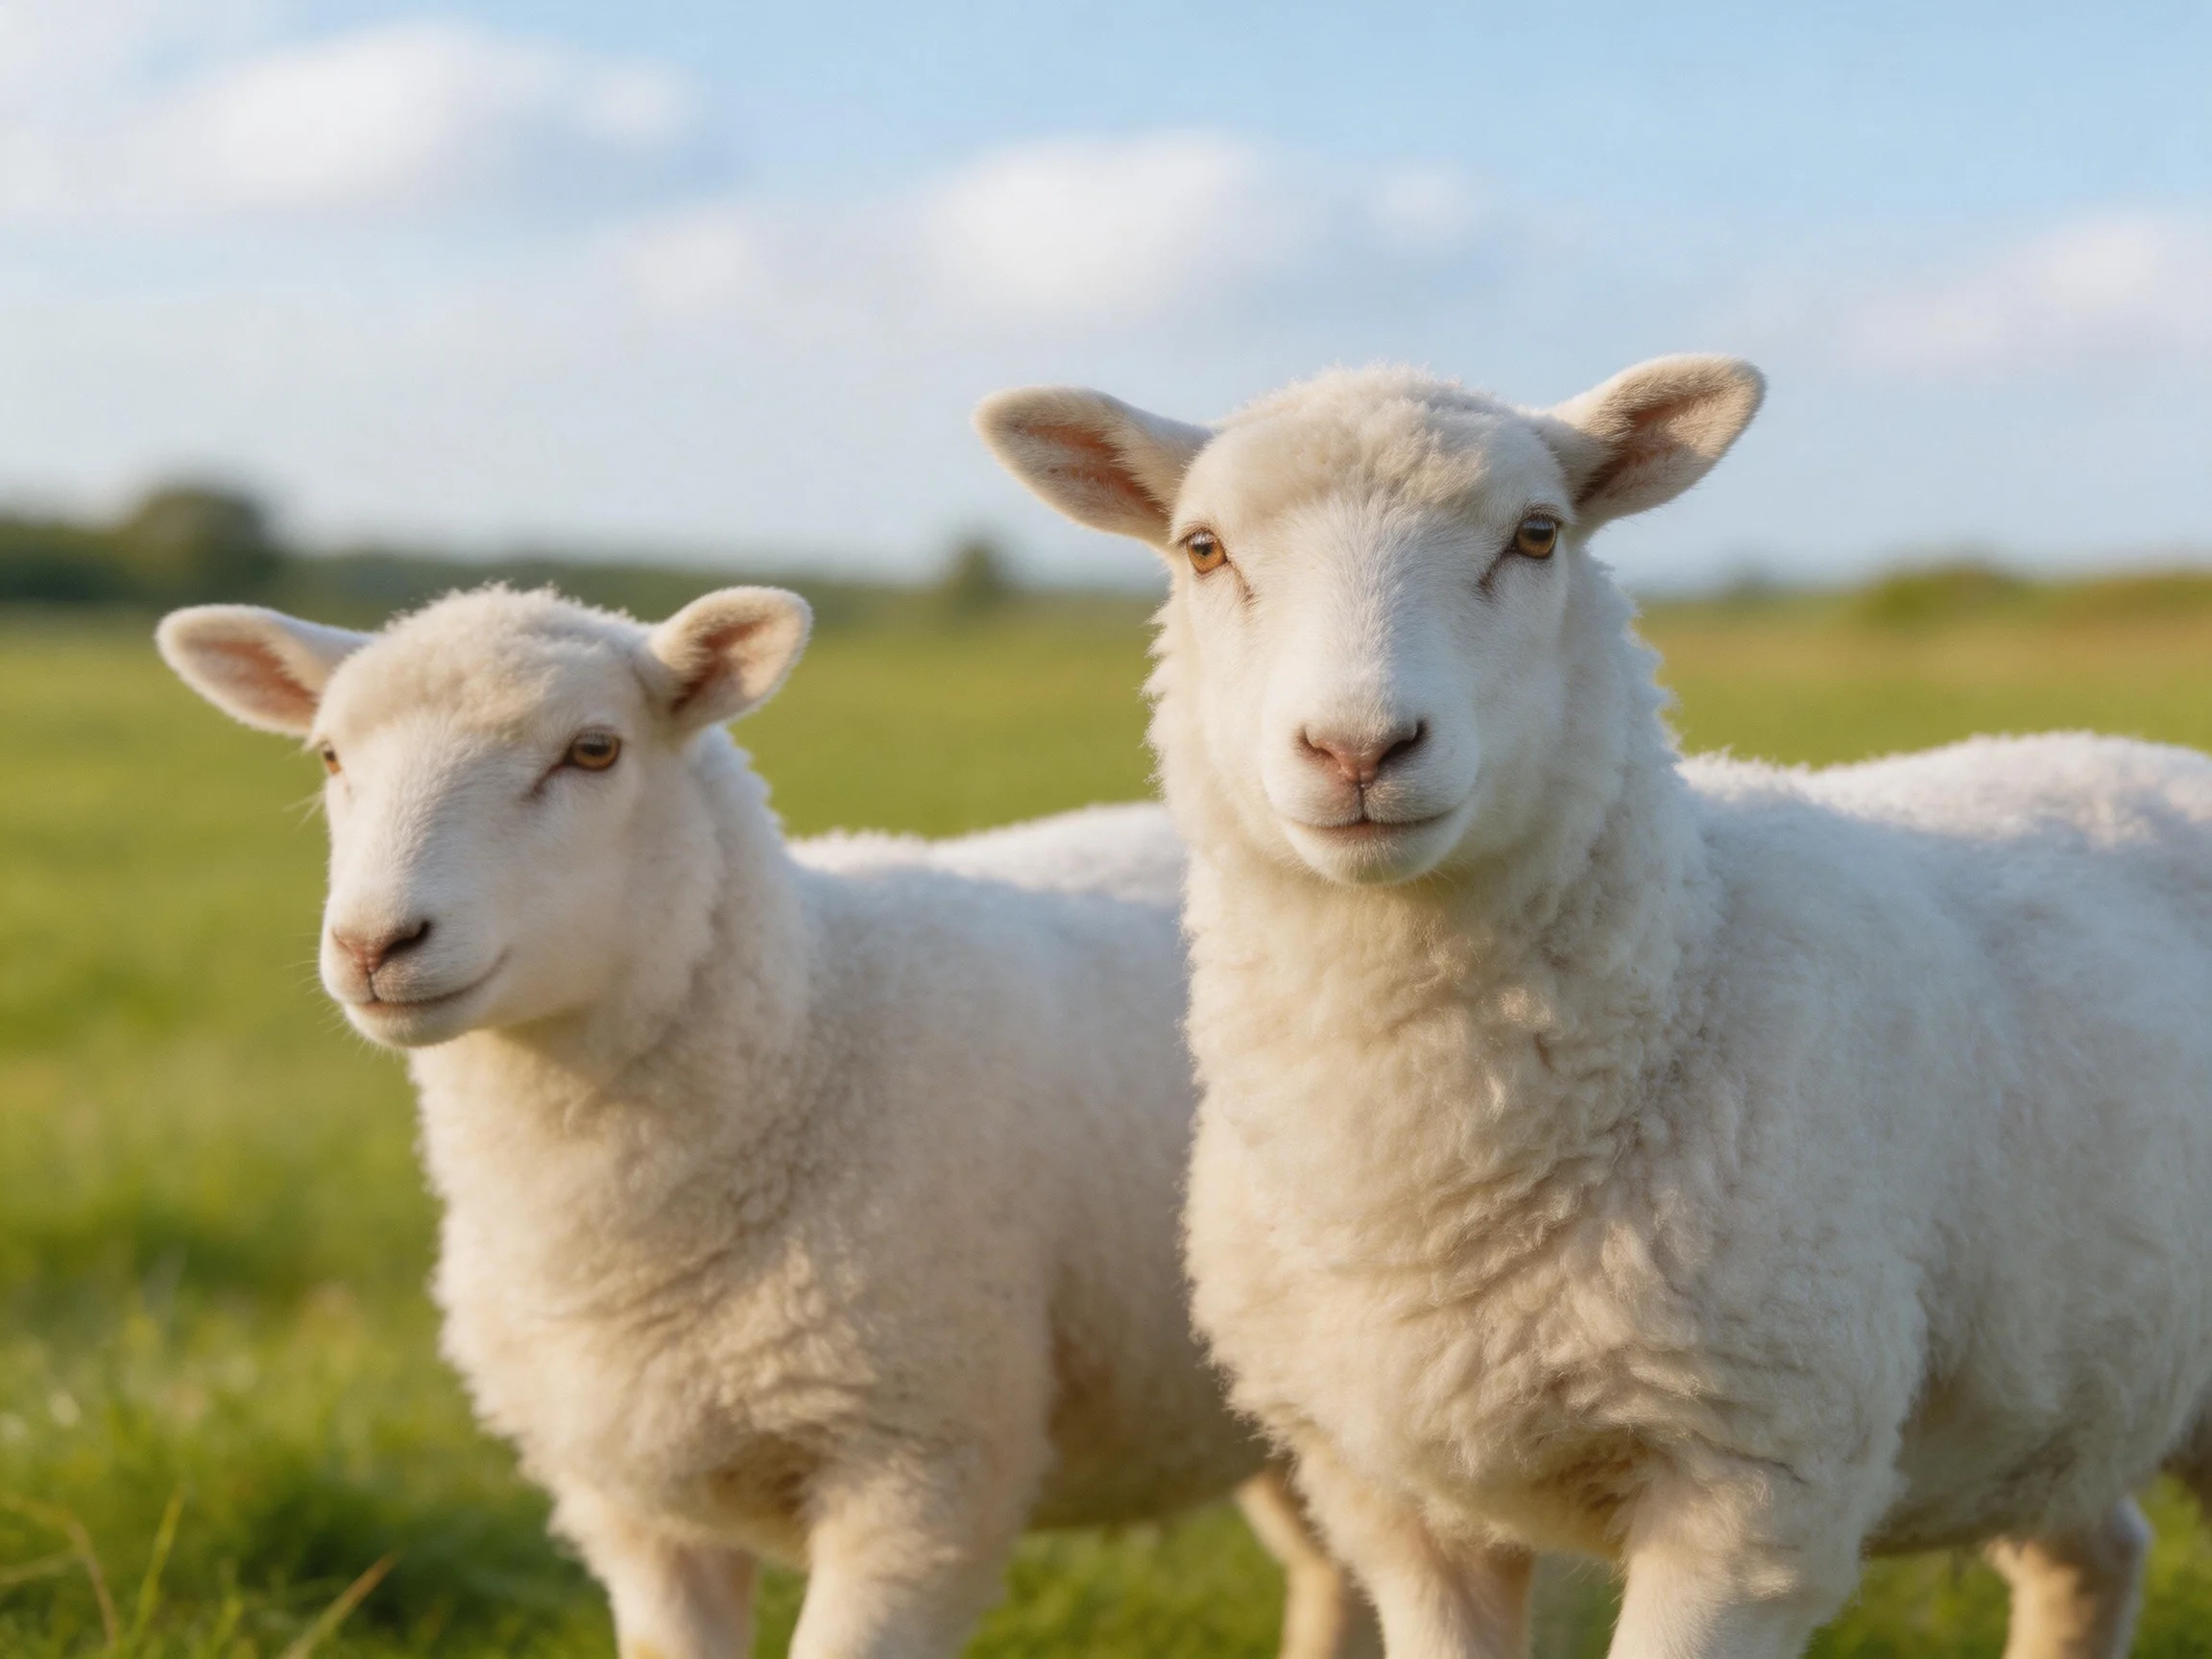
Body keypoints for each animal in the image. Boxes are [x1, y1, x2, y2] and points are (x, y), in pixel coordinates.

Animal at [978, 359, 2212, 1659]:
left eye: (1537, 534)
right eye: (1203, 548)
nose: (1358, 749)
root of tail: (2129, 751)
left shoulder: (1753, 1480)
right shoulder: (1392, 1504)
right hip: (2065, 1391)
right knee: (2095, 1552)